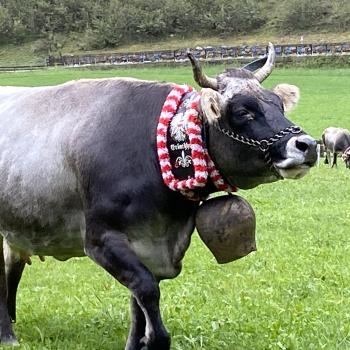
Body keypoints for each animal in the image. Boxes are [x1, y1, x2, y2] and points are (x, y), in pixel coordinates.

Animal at [0, 44, 318, 350]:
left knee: (11, 267)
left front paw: (137, 342)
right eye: (243, 112)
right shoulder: (101, 239)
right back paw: (7, 334)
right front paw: (156, 340)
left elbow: (138, 303)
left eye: (279, 105)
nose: (308, 145)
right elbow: (146, 289)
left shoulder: (156, 244)